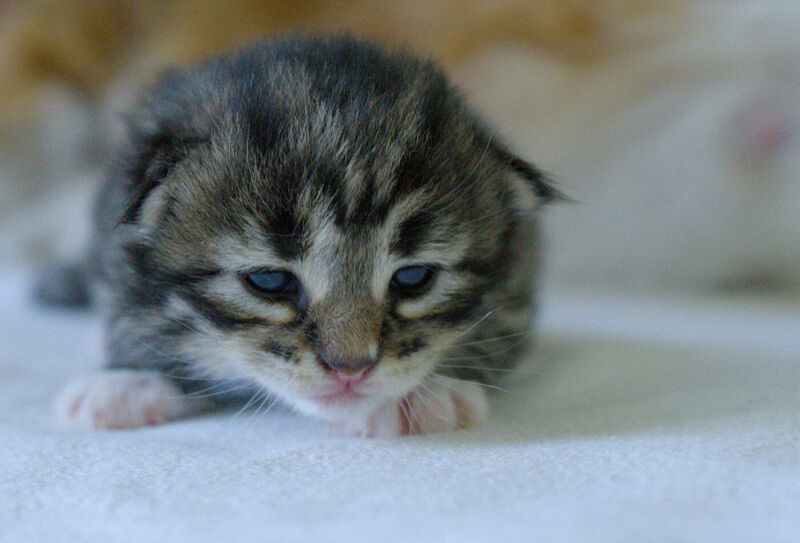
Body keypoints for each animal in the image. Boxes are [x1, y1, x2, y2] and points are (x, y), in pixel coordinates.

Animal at [53, 36, 560, 438]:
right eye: (269, 282)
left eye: (414, 278)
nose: (350, 369)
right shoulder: (115, 238)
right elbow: (128, 308)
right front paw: (128, 380)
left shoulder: (521, 269)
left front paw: (425, 392)